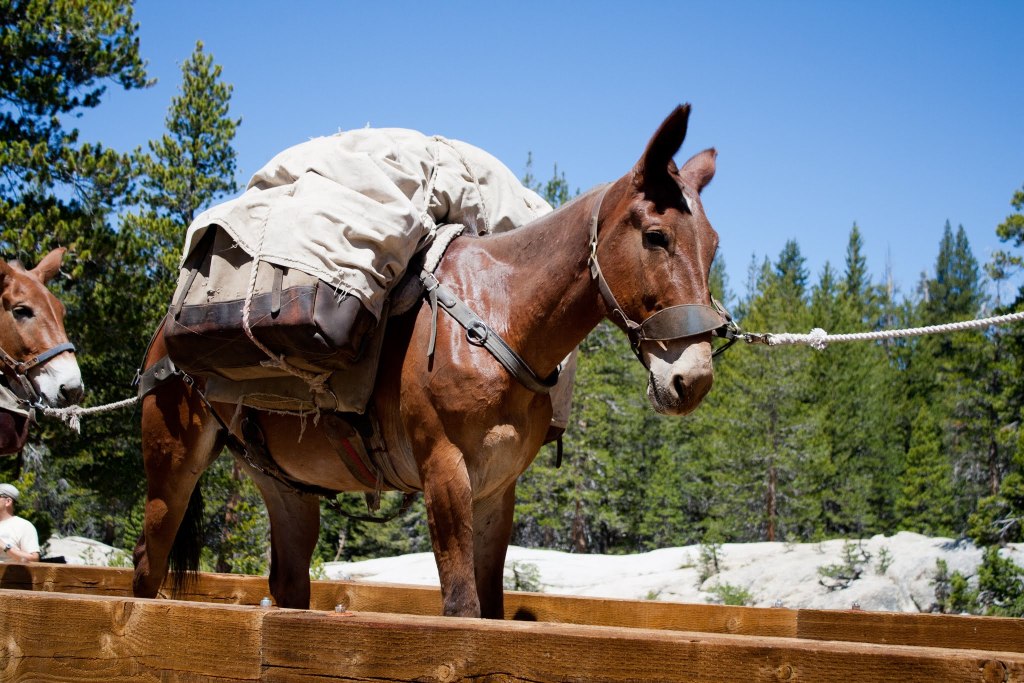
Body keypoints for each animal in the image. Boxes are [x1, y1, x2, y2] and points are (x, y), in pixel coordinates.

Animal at [133, 104, 725, 618]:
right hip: (172, 462)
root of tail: (164, 338)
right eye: (656, 236)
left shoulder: (497, 490)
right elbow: (461, 610)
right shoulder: (444, 469)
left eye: (714, 246)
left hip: (287, 485)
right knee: (146, 564)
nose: (692, 379)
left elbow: (492, 611)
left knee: (288, 585)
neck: (498, 317)